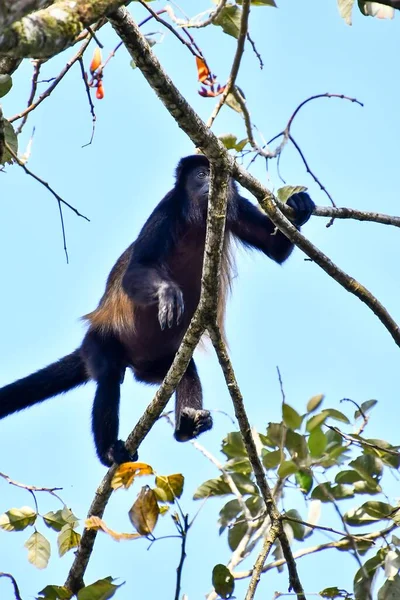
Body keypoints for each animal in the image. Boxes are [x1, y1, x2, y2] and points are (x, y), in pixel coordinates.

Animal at [0, 155, 314, 464]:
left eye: (215, 173)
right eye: (201, 174)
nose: (210, 182)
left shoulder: (236, 207)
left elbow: (275, 248)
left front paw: (299, 206)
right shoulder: (166, 210)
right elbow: (137, 269)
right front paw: (167, 293)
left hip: (157, 365)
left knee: (185, 369)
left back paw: (186, 429)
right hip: (98, 343)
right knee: (110, 375)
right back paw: (109, 452)